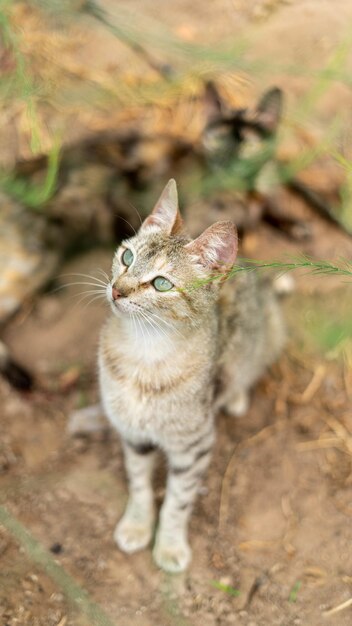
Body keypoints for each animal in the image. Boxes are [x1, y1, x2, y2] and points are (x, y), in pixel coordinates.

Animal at [97, 177, 284, 572]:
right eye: (127, 257)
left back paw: (236, 396)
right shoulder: (133, 434)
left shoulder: (194, 447)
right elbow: (139, 483)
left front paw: (169, 546)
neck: (145, 354)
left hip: (270, 333)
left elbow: (177, 502)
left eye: (162, 284)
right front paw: (137, 525)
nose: (117, 290)